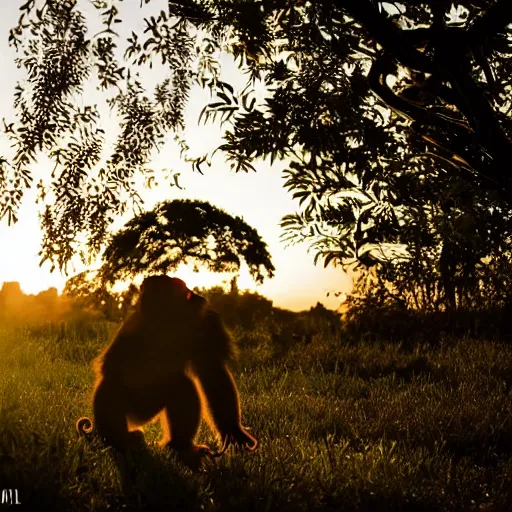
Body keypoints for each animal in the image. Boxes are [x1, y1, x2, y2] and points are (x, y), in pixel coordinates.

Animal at [76, 276, 258, 468]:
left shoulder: (205, 323)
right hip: (135, 413)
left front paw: (233, 431)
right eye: (186, 291)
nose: (197, 295)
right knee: (112, 386)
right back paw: (117, 440)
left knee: (180, 385)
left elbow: (211, 369)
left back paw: (180, 445)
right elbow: (115, 367)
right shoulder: (136, 328)